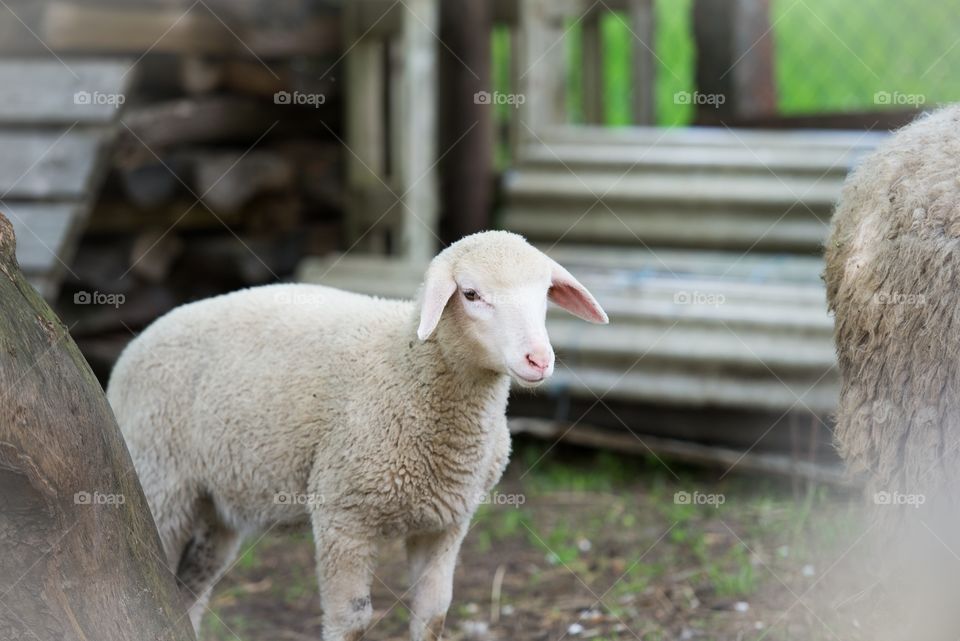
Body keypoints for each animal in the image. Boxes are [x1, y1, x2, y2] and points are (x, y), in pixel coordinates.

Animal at [106, 230, 608, 641]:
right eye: (470, 294)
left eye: (544, 294)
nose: (539, 359)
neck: (407, 369)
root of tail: (139, 340)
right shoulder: (342, 516)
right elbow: (350, 621)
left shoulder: (446, 523)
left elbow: (432, 616)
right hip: (159, 481)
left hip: (217, 505)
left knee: (188, 589)